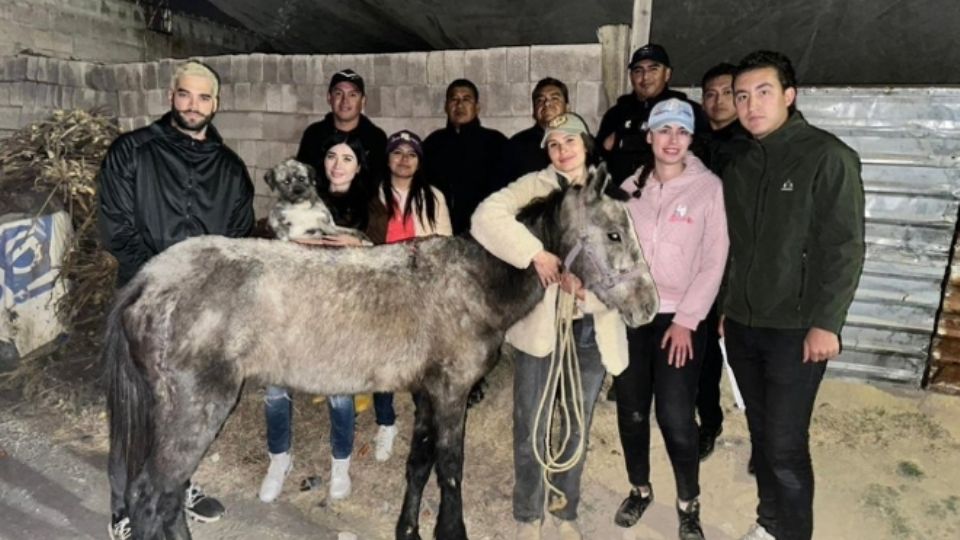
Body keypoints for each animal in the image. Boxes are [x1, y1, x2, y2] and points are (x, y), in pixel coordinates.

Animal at [107, 166, 660, 540]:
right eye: (614, 233)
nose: (648, 307)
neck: (472, 283)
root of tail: (148, 280)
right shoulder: (452, 394)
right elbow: (450, 467)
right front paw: (450, 531)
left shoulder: (426, 395)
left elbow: (418, 464)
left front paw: (408, 528)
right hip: (195, 412)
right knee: (153, 494)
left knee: (166, 496)